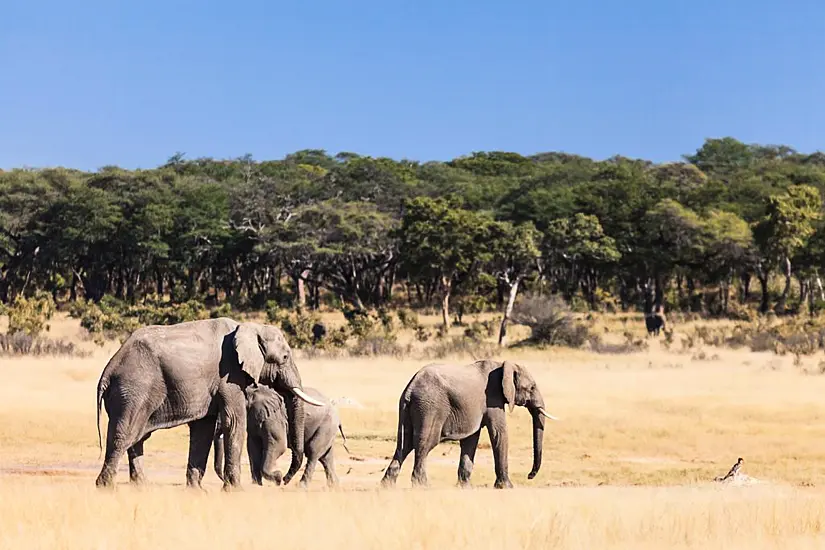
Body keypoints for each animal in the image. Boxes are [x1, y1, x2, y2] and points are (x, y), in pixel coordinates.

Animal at [91, 316, 322, 494]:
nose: (282, 479)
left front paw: (197, 491)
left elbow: (203, 429)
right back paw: (105, 487)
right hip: (134, 388)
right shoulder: (229, 374)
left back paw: (142, 487)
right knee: (125, 434)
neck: (249, 328)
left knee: (138, 437)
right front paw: (235, 490)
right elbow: (234, 422)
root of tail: (107, 371)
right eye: (285, 357)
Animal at [212, 386, 348, 490]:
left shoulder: (273, 417)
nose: (224, 479)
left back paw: (301, 486)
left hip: (327, 424)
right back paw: (334, 486)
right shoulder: (254, 420)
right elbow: (253, 447)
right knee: (325, 457)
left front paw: (277, 478)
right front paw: (257, 485)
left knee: (313, 452)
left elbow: (279, 444)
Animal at [378, 362, 556, 492]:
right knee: (424, 444)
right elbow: (499, 433)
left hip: (410, 408)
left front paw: (465, 487)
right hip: (429, 407)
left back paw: (387, 486)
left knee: (404, 444)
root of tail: (410, 388)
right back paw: (422, 486)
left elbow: (471, 439)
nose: (529, 476)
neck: (503, 364)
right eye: (531, 387)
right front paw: (507, 487)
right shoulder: (493, 399)